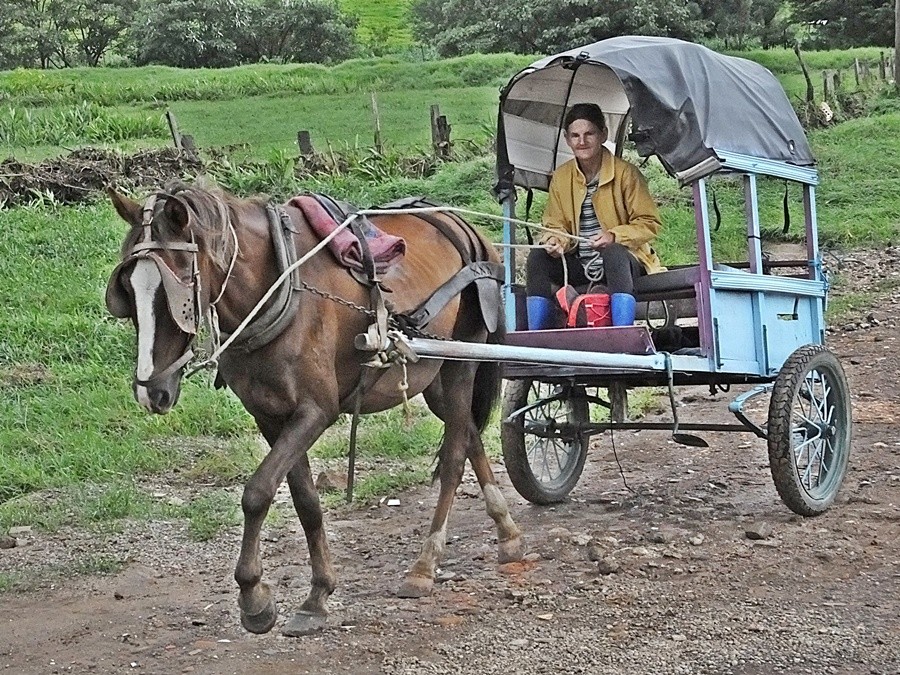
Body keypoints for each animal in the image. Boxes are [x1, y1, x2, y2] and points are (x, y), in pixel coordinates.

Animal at [104, 181, 524, 640]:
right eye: (128, 291)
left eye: (176, 289)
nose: (151, 391)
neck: (279, 283)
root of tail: (463, 227)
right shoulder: (271, 416)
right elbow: (305, 501)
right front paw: (317, 595)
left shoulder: (315, 411)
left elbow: (257, 492)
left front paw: (253, 597)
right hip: (433, 378)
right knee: (468, 436)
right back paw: (507, 533)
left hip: (462, 361)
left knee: (453, 457)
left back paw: (425, 565)